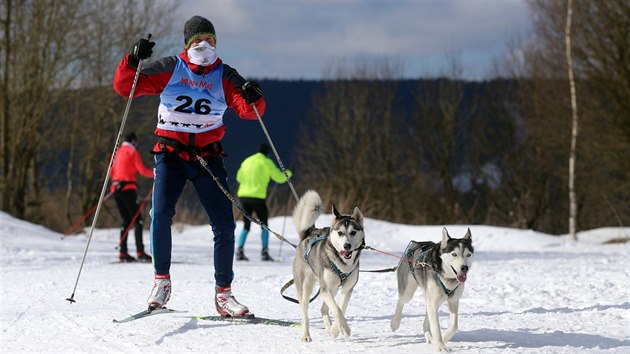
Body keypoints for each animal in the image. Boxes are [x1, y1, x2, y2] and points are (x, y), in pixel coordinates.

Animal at [296, 191, 368, 342]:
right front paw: (341, 329)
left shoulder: (347, 289)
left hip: (333, 288)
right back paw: (306, 335)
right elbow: (337, 309)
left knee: (323, 309)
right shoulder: (325, 289)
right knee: (305, 315)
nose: (347, 246)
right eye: (340, 233)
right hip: (306, 288)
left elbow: (341, 308)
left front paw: (337, 329)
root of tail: (307, 235)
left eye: (353, 232)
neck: (343, 264)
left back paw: (329, 327)